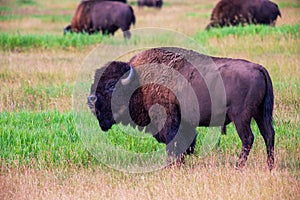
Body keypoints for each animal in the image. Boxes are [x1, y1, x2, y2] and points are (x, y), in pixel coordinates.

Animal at [86, 47, 274, 170]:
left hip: (241, 117)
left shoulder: (168, 121)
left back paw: (238, 167)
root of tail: (259, 68)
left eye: (111, 85)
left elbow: (174, 143)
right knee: (268, 135)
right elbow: (185, 144)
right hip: (261, 114)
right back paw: (270, 166)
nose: (91, 101)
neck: (139, 82)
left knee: (248, 138)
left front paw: (172, 166)